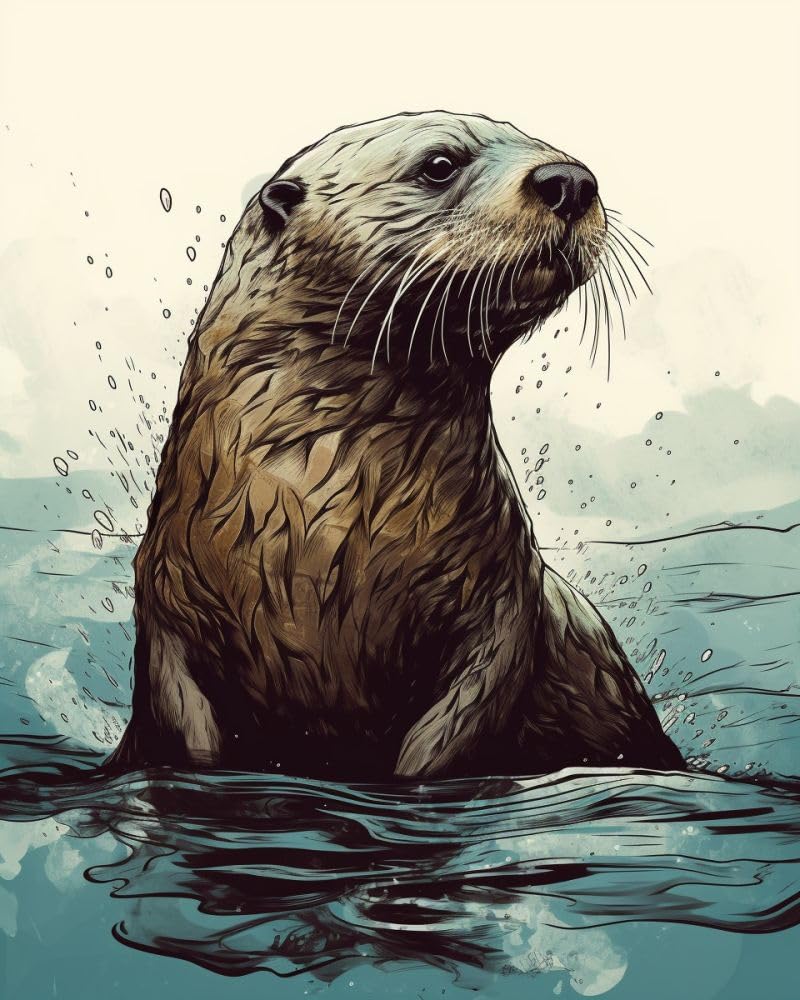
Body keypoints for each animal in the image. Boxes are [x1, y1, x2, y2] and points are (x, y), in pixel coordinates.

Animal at [109, 111, 684, 779]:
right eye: (439, 164)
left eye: (543, 144)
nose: (569, 180)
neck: (318, 519)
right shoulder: (166, 601)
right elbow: (186, 725)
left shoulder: (503, 605)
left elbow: (455, 726)